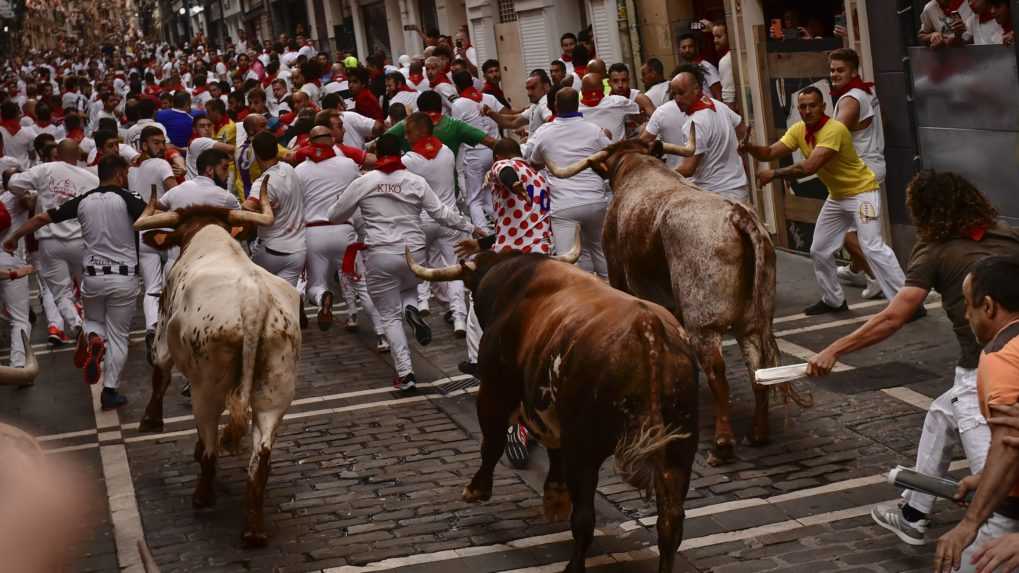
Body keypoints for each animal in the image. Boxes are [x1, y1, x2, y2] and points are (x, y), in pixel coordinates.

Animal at [132, 179, 297, 542]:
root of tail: (253, 301)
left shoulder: (163, 337)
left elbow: (159, 374)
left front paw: (150, 420)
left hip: (207, 386)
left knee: (210, 444)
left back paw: (203, 495)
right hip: (275, 389)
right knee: (260, 456)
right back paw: (253, 529)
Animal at [405, 237, 701, 570]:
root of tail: (647, 327)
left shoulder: (495, 392)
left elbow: (492, 443)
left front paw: (477, 489)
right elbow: (551, 450)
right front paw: (555, 498)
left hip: (585, 447)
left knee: (584, 517)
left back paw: (573, 566)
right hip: (680, 447)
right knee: (670, 522)